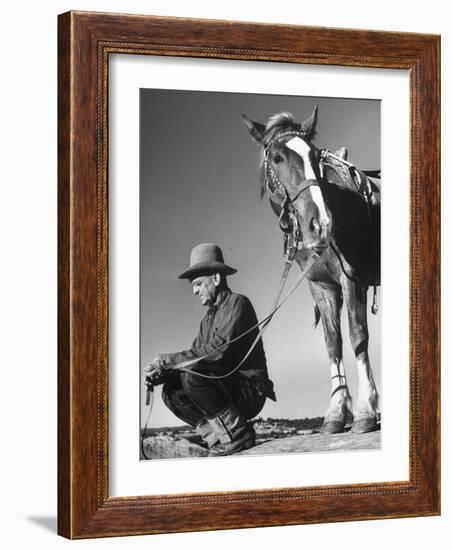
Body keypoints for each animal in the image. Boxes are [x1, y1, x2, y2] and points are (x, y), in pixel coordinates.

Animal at [242, 108, 380, 436]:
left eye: (315, 156)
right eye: (277, 157)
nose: (322, 224)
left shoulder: (352, 279)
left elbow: (358, 336)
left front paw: (365, 410)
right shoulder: (321, 288)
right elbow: (333, 343)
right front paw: (336, 412)